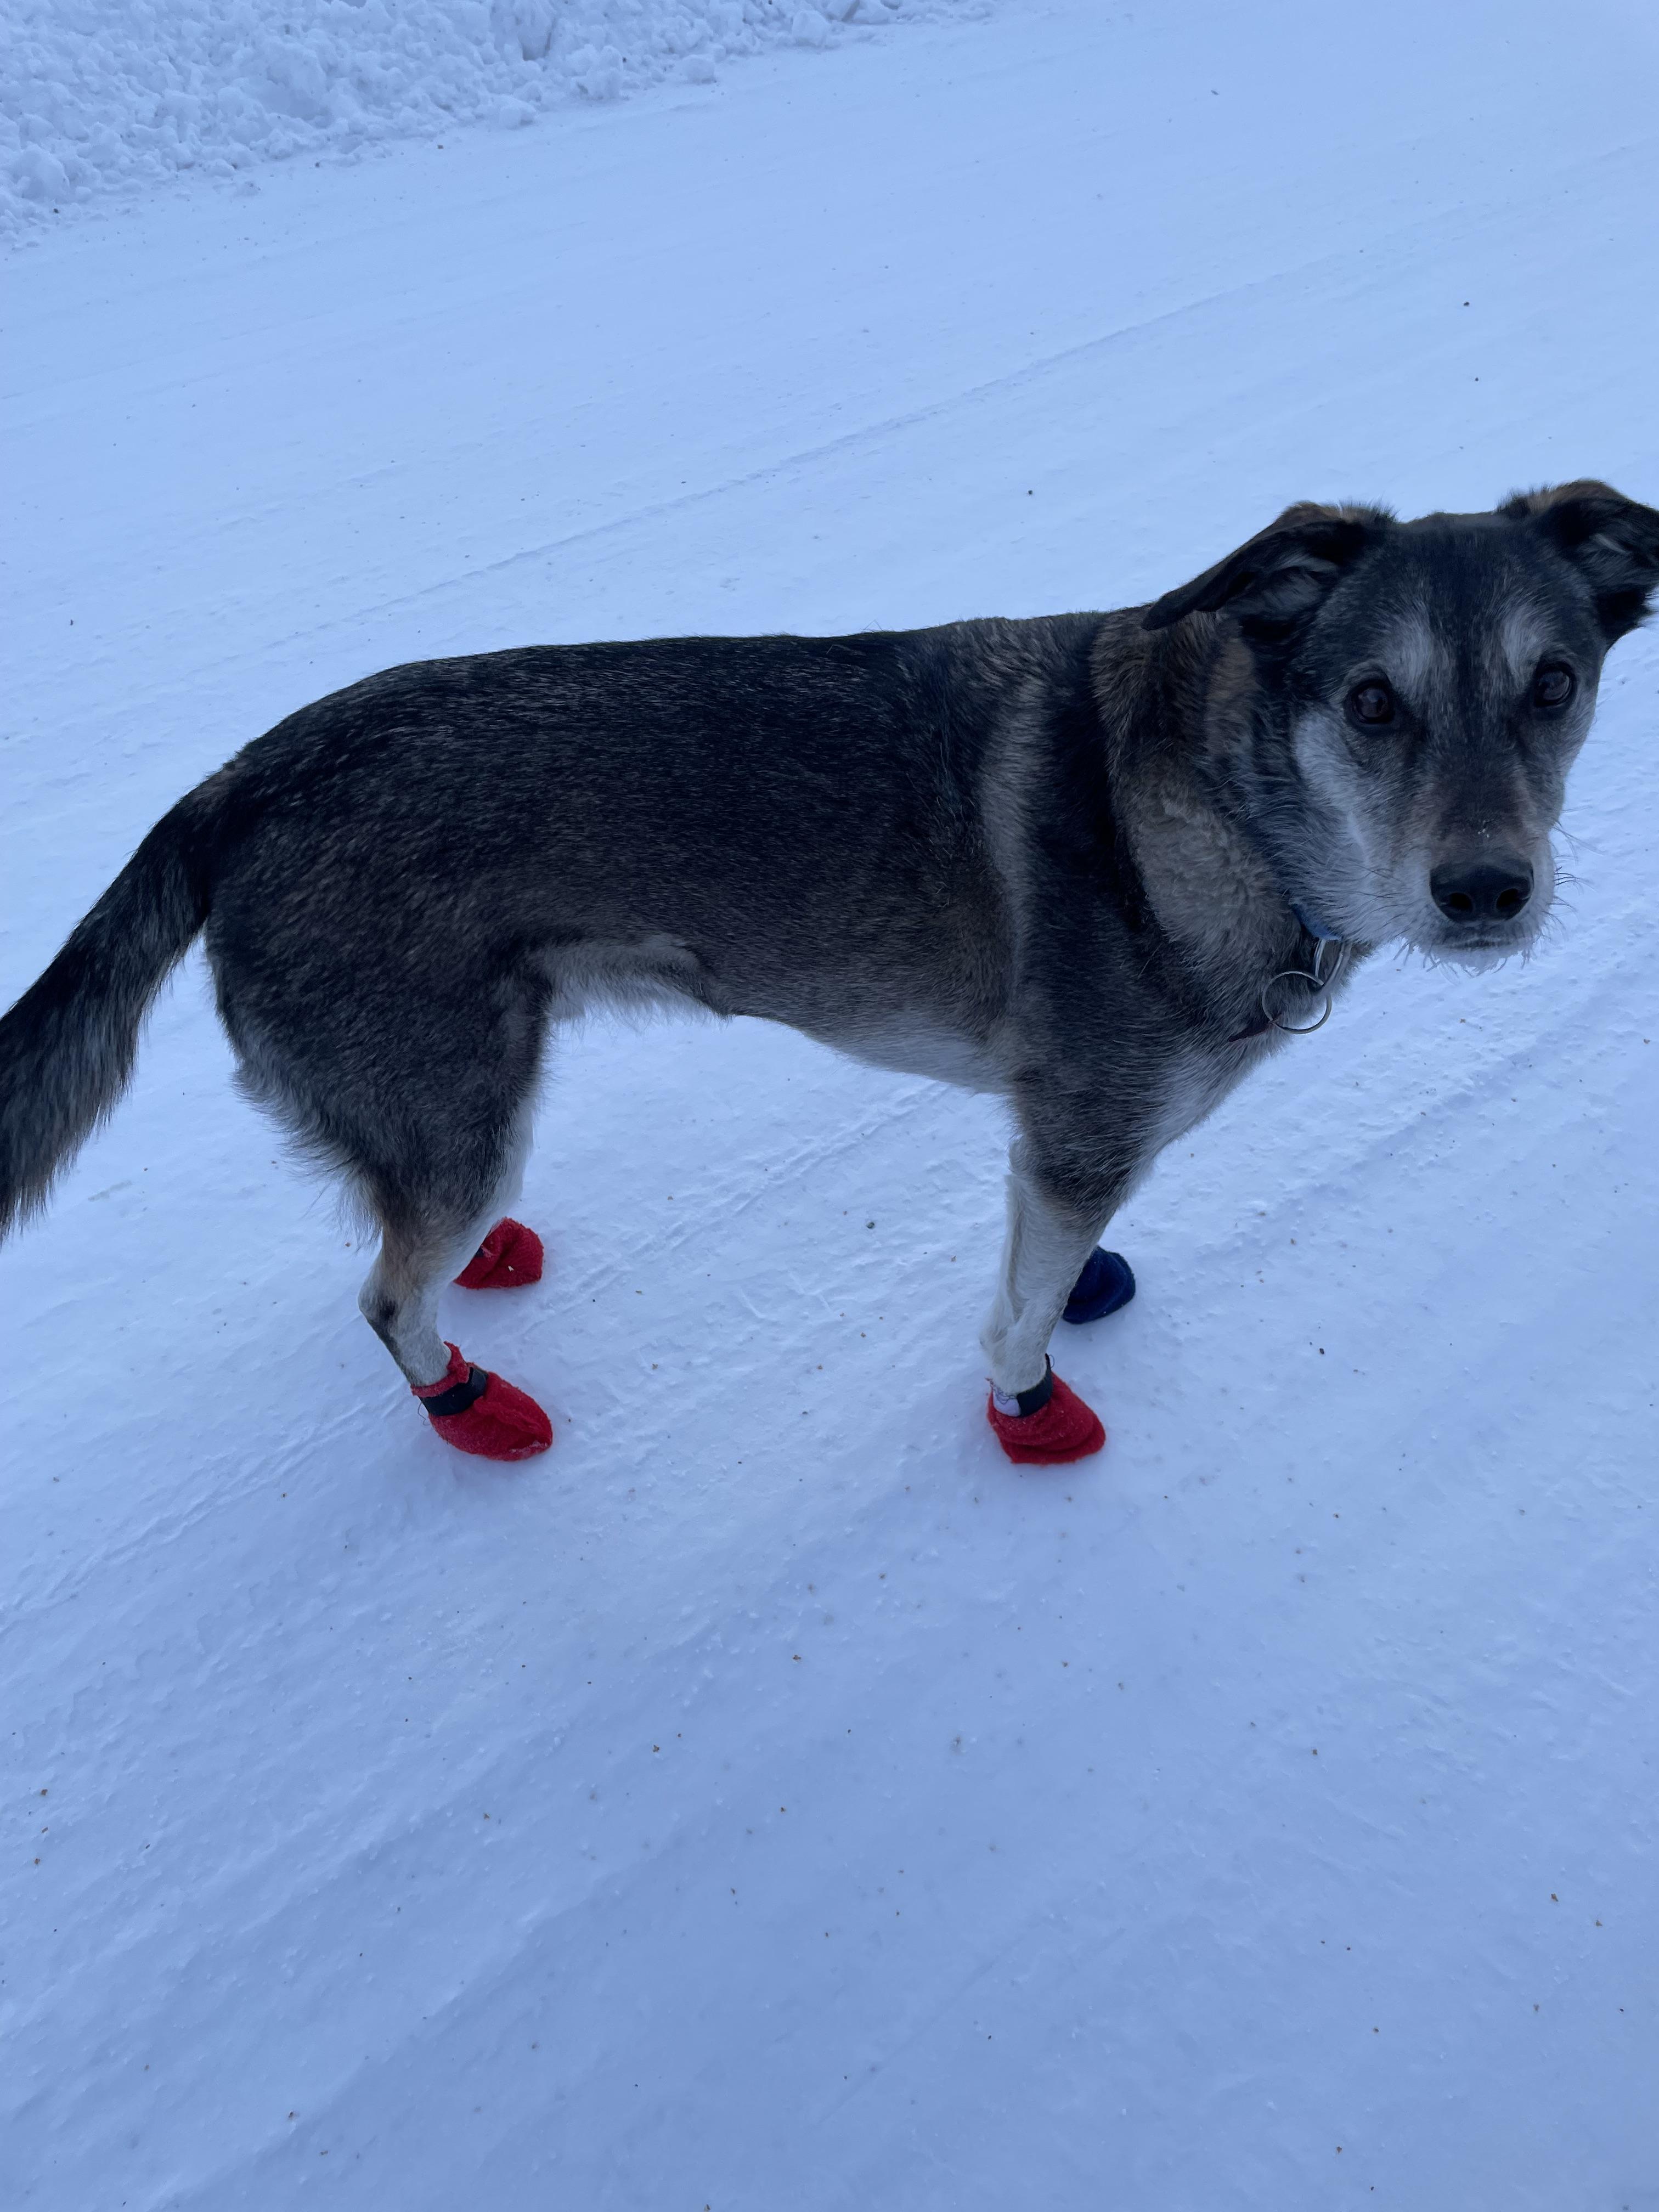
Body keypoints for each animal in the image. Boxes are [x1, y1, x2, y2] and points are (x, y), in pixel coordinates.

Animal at [3, 475, 1659, 1460]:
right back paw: (468, 1398)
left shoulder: (1059, 1143)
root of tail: (235, 784)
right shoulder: (1082, 1141)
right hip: (454, 1099)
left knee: (412, 1223)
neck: (1231, 802)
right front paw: (1027, 1406)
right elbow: (1015, 1319)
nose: (1487, 894)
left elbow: (1046, 1263)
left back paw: (489, 1262)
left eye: (1555, 684)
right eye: (1374, 702)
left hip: (463, 1099)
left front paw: (1085, 1292)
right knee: (383, 1296)